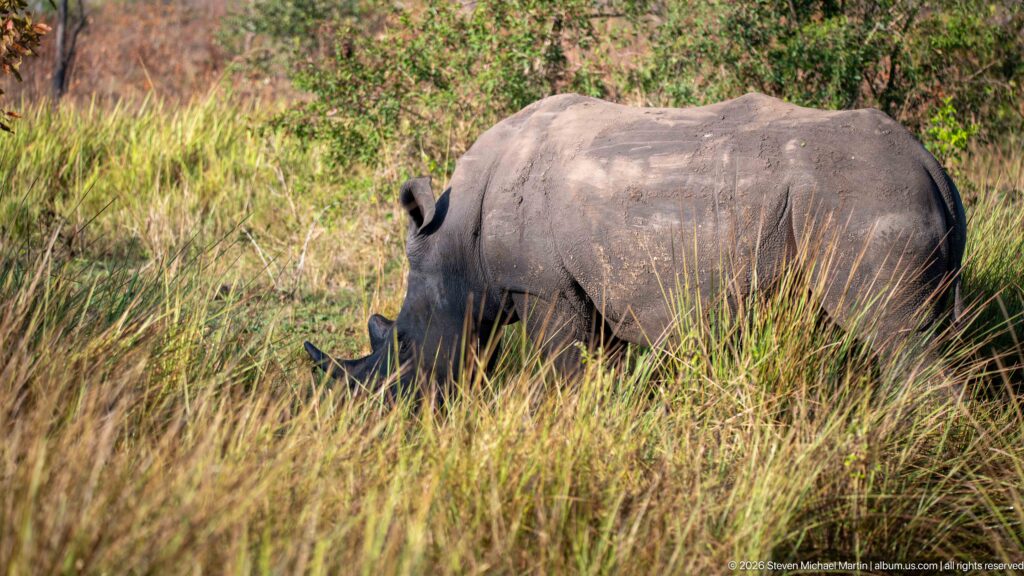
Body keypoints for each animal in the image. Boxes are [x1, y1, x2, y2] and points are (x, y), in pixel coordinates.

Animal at [305, 93, 966, 393]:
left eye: (402, 343)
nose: (384, 413)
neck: (455, 242)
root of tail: (934, 167)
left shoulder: (544, 288)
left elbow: (563, 374)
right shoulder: (596, 283)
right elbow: (601, 373)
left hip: (861, 201)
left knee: (896, 336)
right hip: (877, 201)